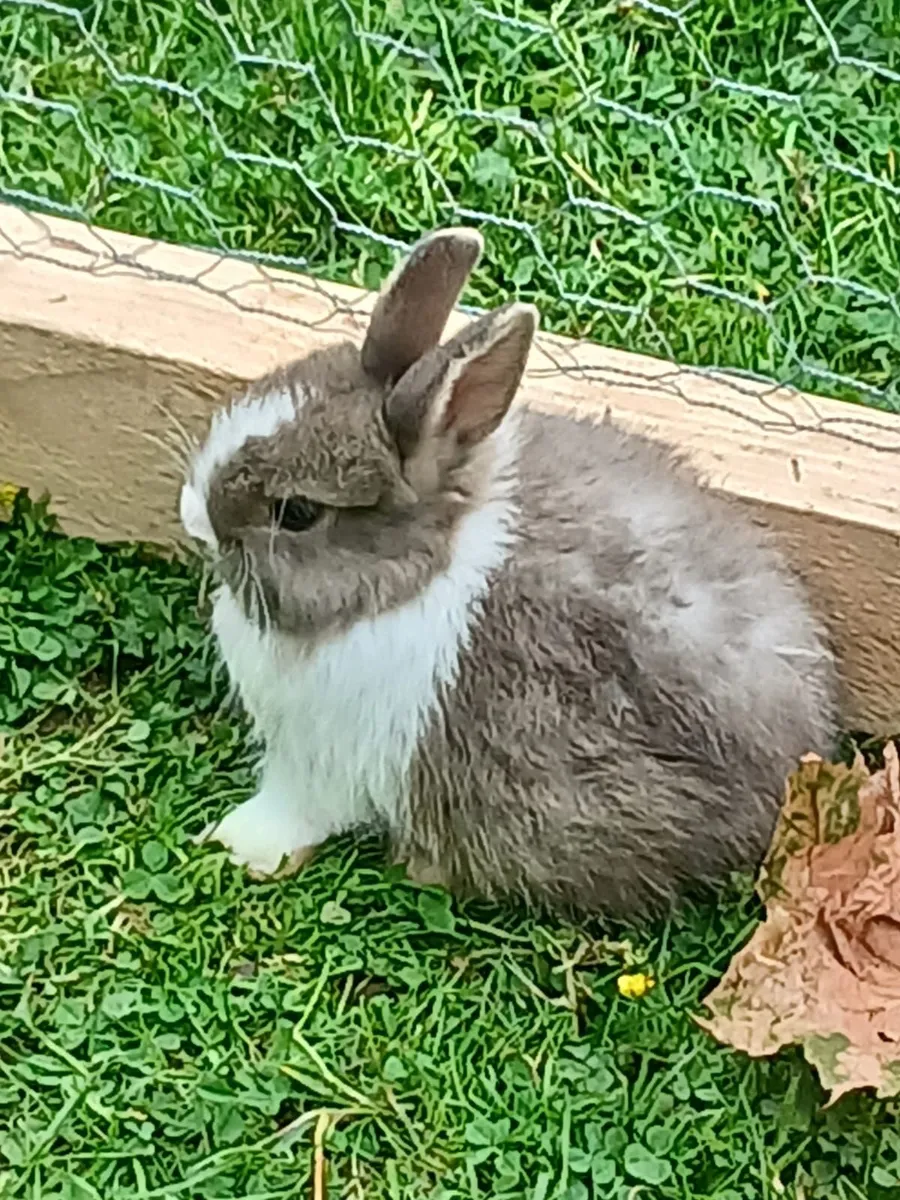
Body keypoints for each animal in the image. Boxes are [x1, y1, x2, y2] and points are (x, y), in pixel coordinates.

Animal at [180, 227, 838, 920]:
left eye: (298, 513)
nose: (192, 517)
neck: (409, 578)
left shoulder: (320, 762)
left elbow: (292, 812)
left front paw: (234, 843)